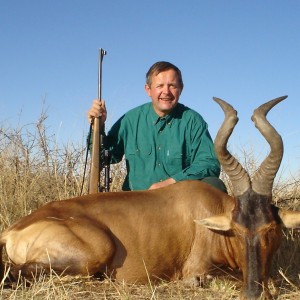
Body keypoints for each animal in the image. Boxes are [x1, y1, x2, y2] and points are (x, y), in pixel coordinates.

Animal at [0, 96, 300, 300]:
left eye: (271, 229)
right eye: (236, 231)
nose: (254, 294)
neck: (208, 211)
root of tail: (14, 229)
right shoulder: (197, 269)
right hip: (94, 250)